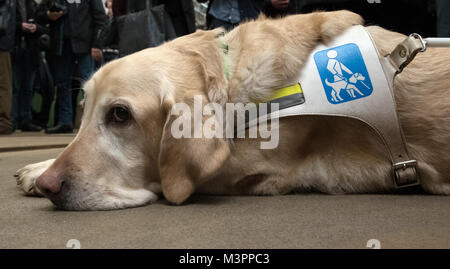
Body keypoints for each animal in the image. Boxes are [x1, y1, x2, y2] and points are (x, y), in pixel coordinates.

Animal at [14, 11, 450, 209]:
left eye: (120, 115)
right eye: (85, 111)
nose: (51, 185)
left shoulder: (254, 170)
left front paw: (36, 174)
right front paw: (37, 168)